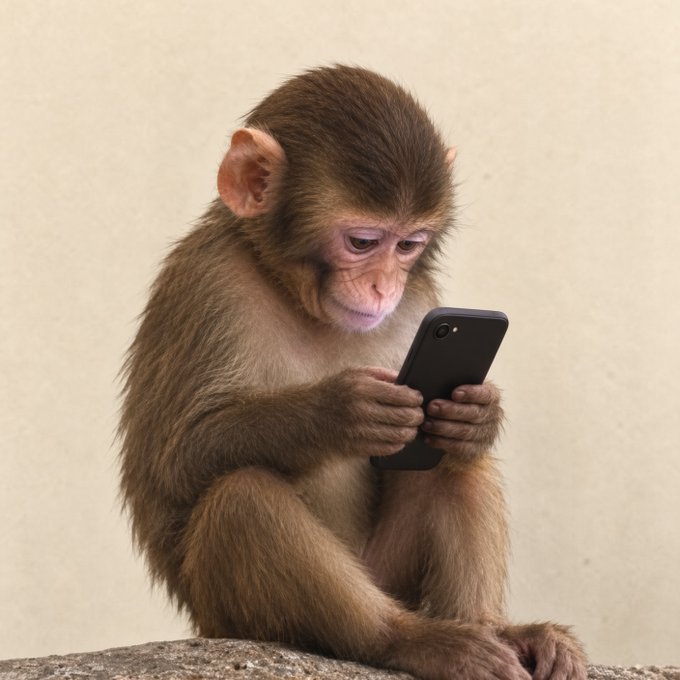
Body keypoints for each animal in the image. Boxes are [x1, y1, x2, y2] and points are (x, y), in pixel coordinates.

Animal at [119, 65, 586, 680]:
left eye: (408, 245)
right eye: (363, 242)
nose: (384, 287)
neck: (291, 291)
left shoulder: (421, 302)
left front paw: (478, 414)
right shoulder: (207, 282)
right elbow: (176, 461)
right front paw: (340, 411)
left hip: (390, 572)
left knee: (455, 464)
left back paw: (496, 629)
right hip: (230, 615)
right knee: (242, 498)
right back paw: (408, 640)